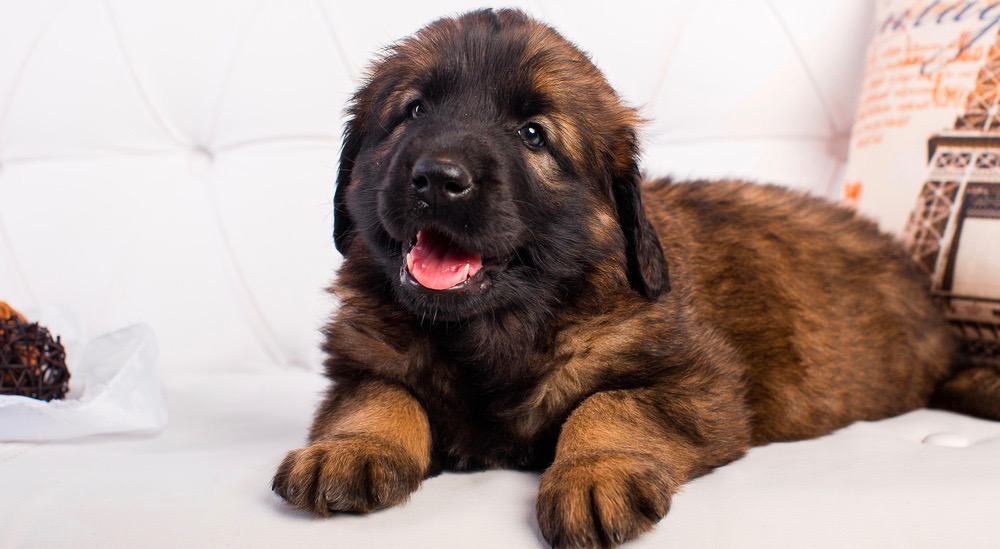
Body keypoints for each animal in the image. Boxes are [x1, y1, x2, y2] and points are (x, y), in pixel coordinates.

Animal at [270, 9, 980, 548]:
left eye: (534, 134)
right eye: (413, 111)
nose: (439, 178)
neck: (496, 329)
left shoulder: (698, 382)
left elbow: (610, 405)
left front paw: (592, 474)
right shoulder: (362, 358)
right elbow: (379, 396)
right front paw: (349, 448)